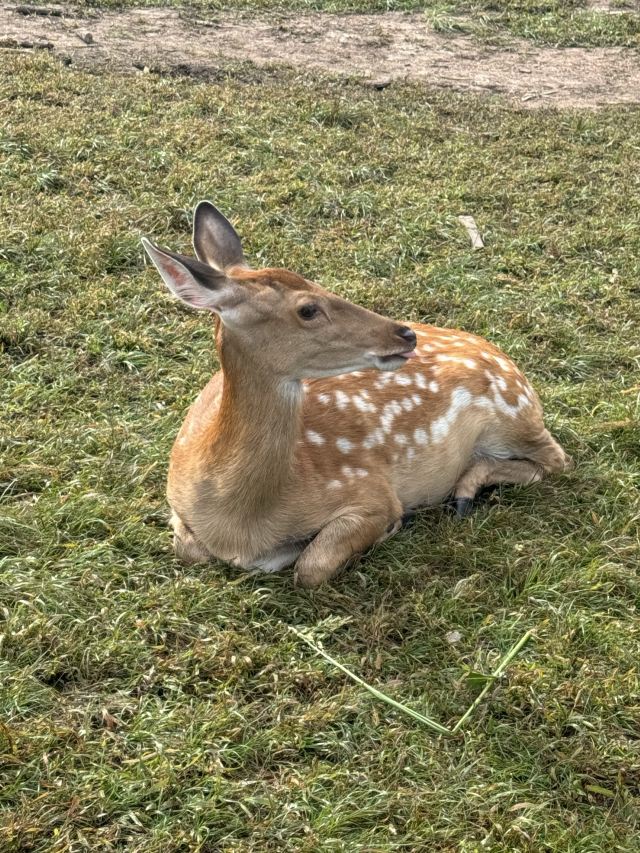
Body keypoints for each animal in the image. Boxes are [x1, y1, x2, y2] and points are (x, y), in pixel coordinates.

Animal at [142, 202, 570, 588]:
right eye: (308, 309)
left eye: (313, 280)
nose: (404, 334)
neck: (239, 523)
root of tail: (509, 362)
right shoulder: (177, 505)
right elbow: (188, 549)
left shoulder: (370, 492)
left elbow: (311, 567)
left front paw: (393, 525)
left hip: (509, 415)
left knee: (556, 460)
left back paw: (463, 493)